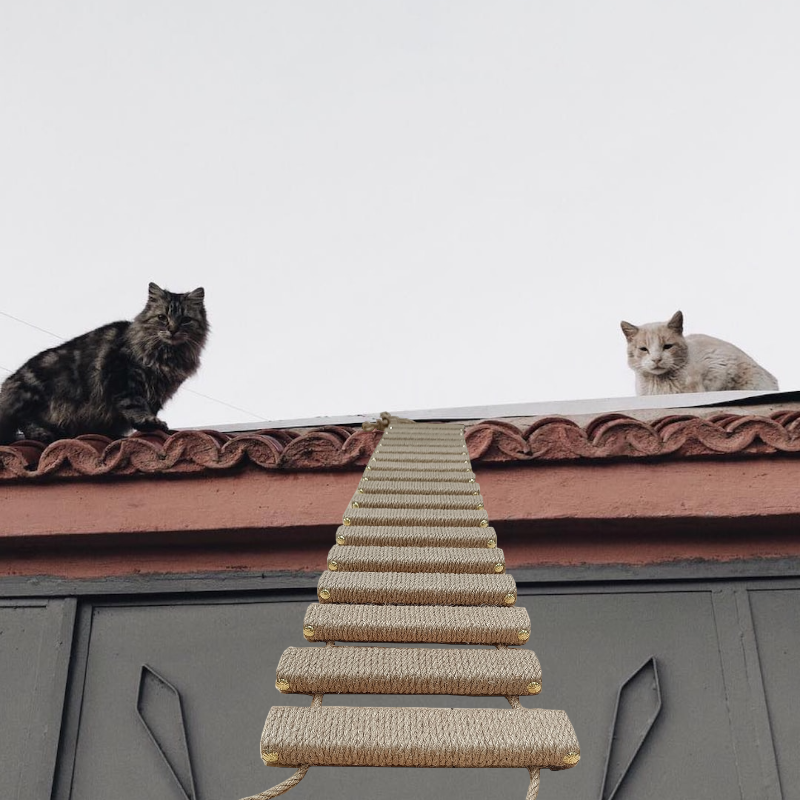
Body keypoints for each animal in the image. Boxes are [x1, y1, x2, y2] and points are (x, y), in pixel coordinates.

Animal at [0, 282, 206, 444]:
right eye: (162, 317)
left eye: (185, 320)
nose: (173, 330)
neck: (167, 355)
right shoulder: (123, 376)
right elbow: (135, 404)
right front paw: (147, 421)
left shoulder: (158, 394)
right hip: (35, 390)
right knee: (23, 418)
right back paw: (41, 432)